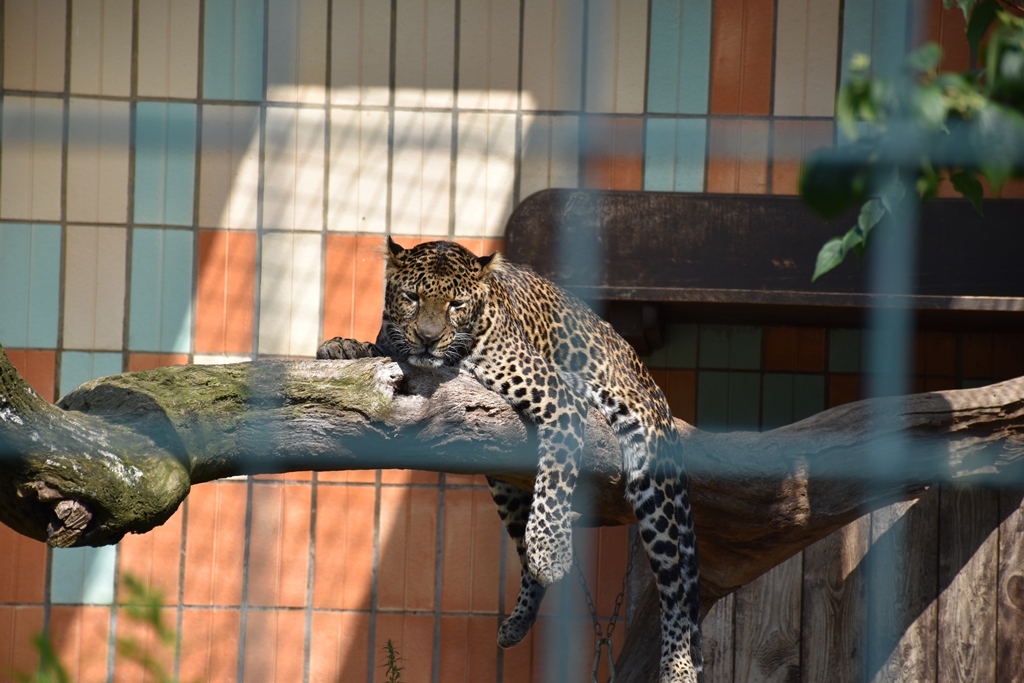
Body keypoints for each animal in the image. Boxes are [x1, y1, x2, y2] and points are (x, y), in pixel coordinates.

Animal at [317, 237, 703, 683]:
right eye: (412, 297)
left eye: (456, 304)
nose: (428, 339)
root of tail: (650, 380)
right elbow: (377, 348)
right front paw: (341, 345)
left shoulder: (560, 399)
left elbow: (556, 478)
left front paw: (551, 550)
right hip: (504, 486)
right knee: (526, 558)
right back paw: (518, 622)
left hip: (651, 477)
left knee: (674, 583)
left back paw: (678, 667)